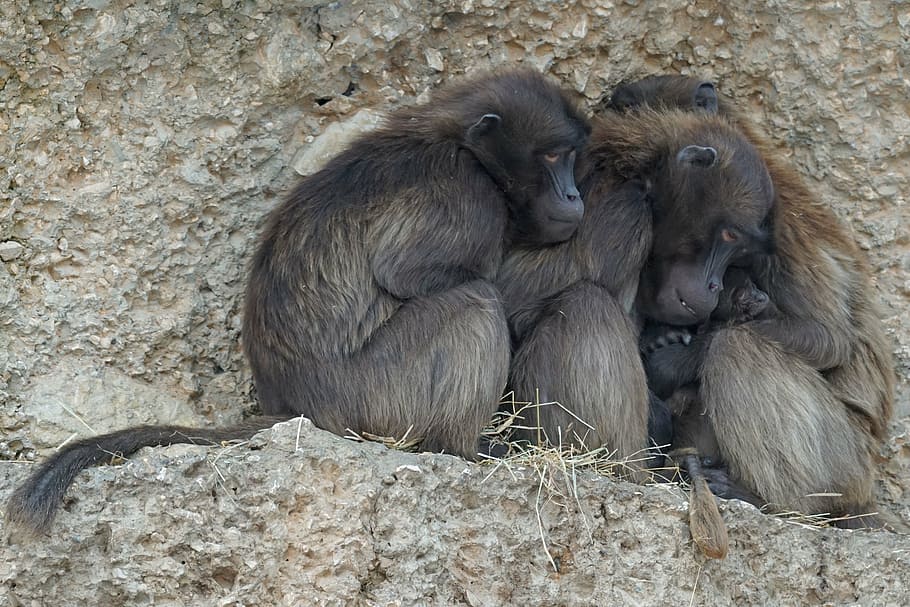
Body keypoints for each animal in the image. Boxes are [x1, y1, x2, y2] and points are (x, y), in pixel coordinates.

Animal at [6, 69, 591, 534]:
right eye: (554, 156)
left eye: (569, 158)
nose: (573, 196)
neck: (459, 142)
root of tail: (295, 408)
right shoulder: (467, 195)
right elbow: (410, 273)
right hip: (375, 399)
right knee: (474, 303)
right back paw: (462, 448)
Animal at [607, 76, 895, 527]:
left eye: (734, 241)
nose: (710, 284)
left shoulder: (781, 224)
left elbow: (828, 338)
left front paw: (668, 360)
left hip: (843, 465)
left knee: (737, 347)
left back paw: (769, 501)